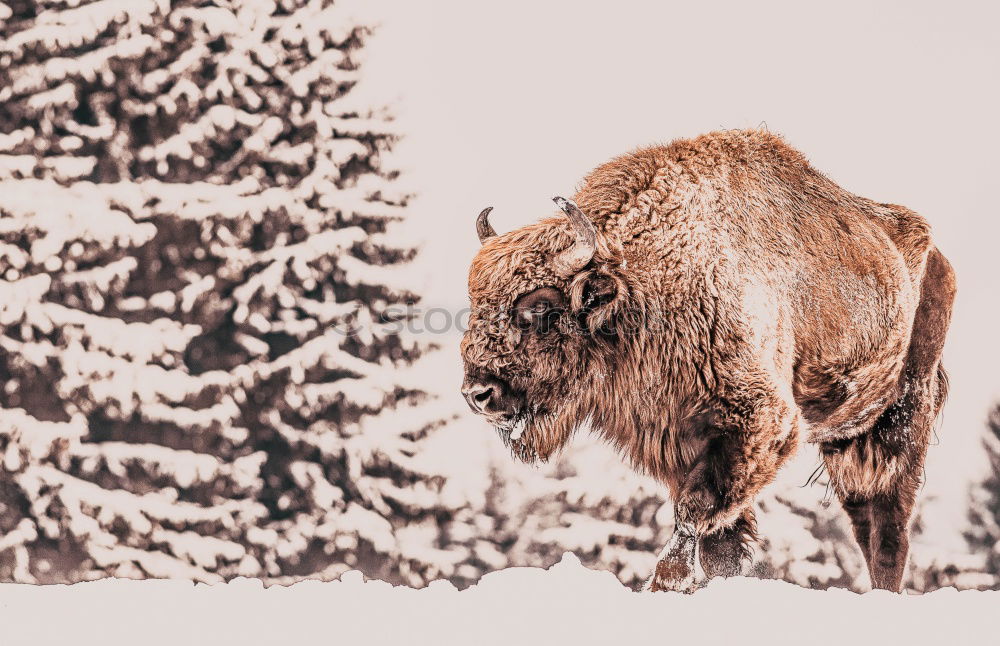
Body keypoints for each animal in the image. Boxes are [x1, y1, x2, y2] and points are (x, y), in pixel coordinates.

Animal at [458, 130, 956, 592]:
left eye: (541, 308)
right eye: (475, 303)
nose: (478, 394)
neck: (647, 282)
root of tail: (936, 257)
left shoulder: (760, 422)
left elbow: (695, 510)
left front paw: (666, 582)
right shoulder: (681, 437)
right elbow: (723, 541)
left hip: (900, 419)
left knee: (887, 527)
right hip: (845, 439)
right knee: (865, 520)